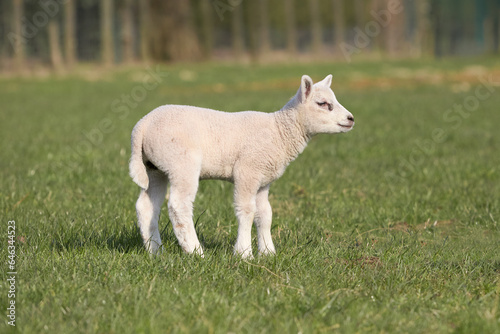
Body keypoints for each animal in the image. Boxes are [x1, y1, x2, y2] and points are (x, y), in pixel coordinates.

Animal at [130, 75, 356, 258]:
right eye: (323, 103)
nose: (351, 119)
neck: (280, 132)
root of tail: (143, 124)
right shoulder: (248, 171)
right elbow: (247, 211)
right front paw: (244, 253)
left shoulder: (263, 180)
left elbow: (265, 214)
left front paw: (268, 253)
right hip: (182, 163)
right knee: (179, 206)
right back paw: (195, 252)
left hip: (155, 168)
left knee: (146, 207)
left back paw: (155, 251)